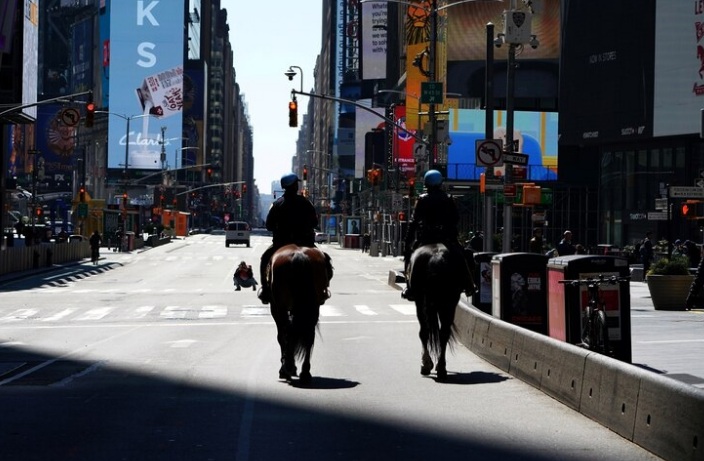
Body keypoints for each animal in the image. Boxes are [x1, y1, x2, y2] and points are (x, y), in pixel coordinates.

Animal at [266, 243, 330, 382]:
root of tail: (298, 254)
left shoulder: (276, 309)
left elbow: (282, 336)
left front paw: (286, 367)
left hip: (281, 308)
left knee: (286, 333)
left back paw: (287, 368)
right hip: (313, 307)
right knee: (309, 335)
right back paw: (305, 372)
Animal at [404, 243, 470, 380]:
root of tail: (436, 257)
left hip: (424, 301)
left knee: (426, 332)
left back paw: (428, 365)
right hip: (448, 303)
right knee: (442, 333)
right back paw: (440, 367)